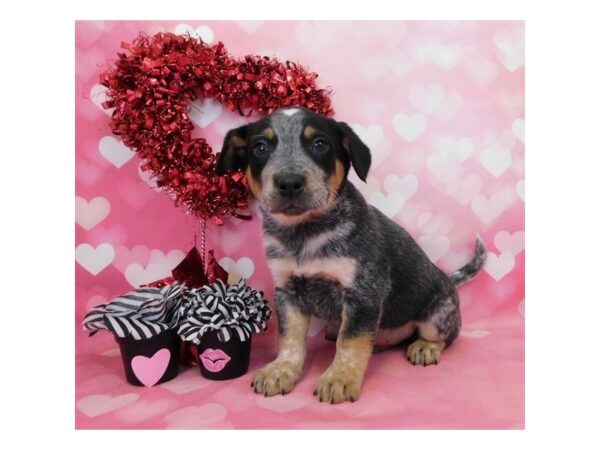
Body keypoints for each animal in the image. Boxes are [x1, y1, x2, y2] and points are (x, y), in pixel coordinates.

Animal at [216, 106, 488, 404]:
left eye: (320, 143)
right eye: (260, 147)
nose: (289, 183)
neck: (304, 236)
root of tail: (449, 280)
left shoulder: (363, 293)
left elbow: (351, 341)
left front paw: (339, 377)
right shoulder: (287, 292)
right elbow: (290, 339)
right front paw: (281, 369)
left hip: (436, 316)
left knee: (444, 336)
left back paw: (425, 347)